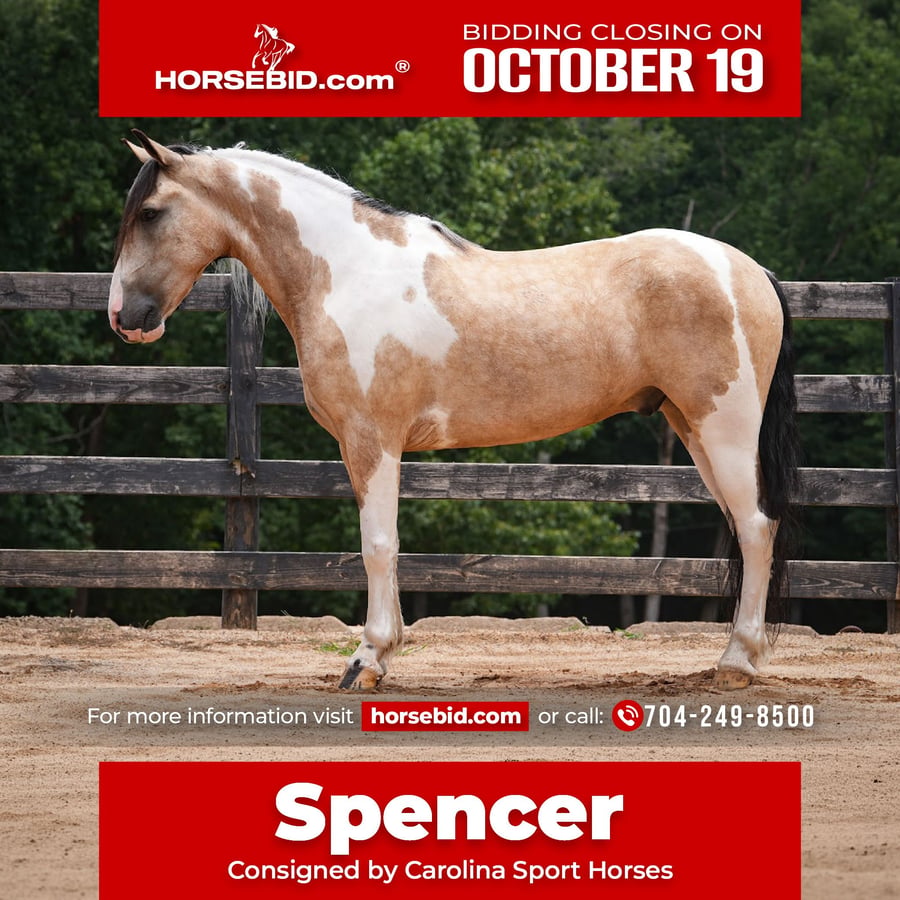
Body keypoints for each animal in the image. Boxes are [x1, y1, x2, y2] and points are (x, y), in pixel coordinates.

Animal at [109, 130, 800, 691]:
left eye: (150, 212)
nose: (125, 317)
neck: (347, 272)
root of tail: (750, 271)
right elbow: (386, 547)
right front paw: (383, 654)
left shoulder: (371, 440)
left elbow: (378, 545)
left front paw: (367, 661)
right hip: (693, 429)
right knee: (746, 527)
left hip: (724, 428)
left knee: (756, 527)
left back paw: (736, 663)